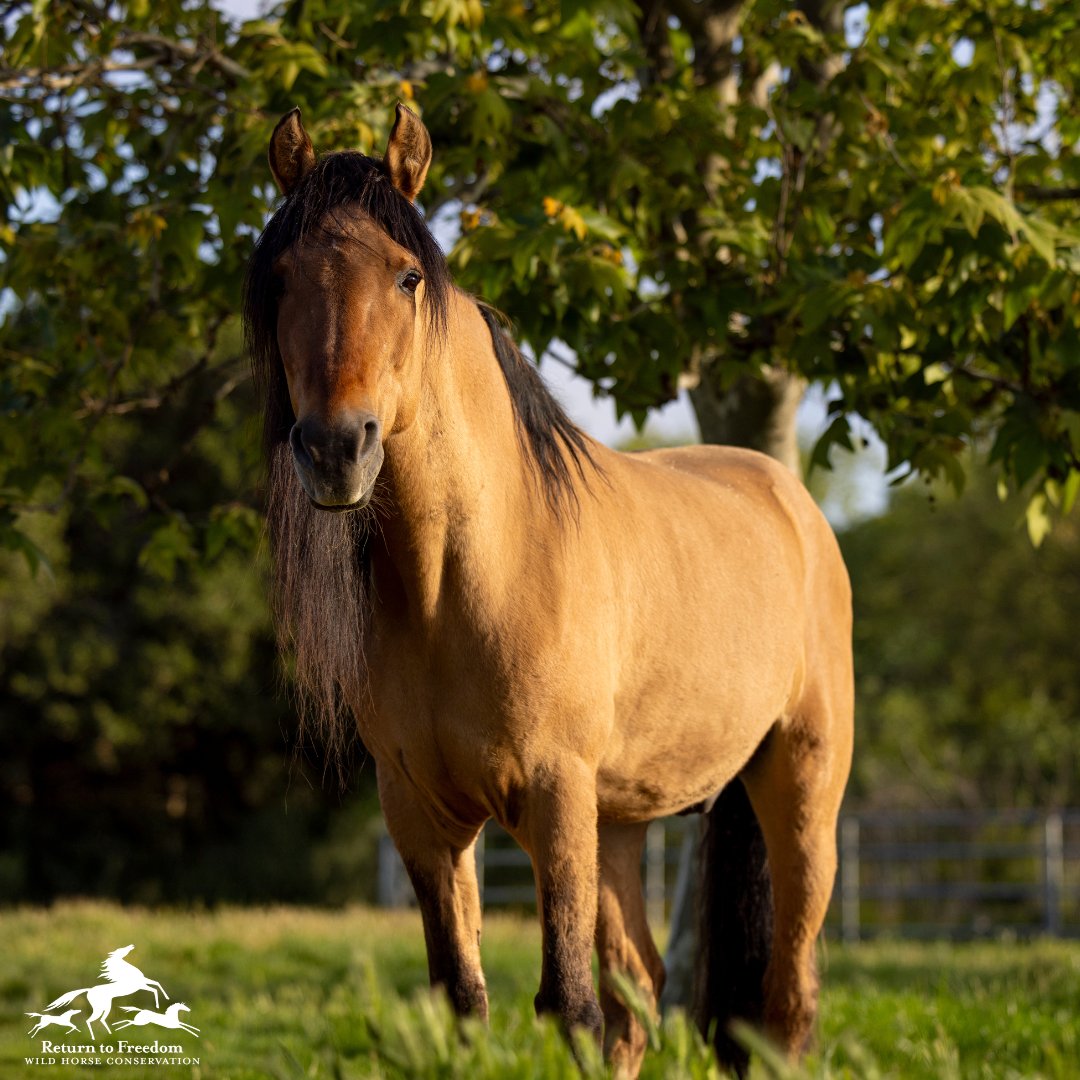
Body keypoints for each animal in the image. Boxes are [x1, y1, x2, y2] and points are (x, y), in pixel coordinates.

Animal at [243, 103, 853, 1078]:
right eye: (280, 279)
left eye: (407, 275)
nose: (337, 447)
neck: (462, 582)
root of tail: (788, 500)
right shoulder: (422, 816)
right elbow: (464, 1000)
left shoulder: (555, 796)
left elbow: (568, 1005)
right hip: (623, 820)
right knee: (640, 992)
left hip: (801, 794)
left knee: (784, 1004)